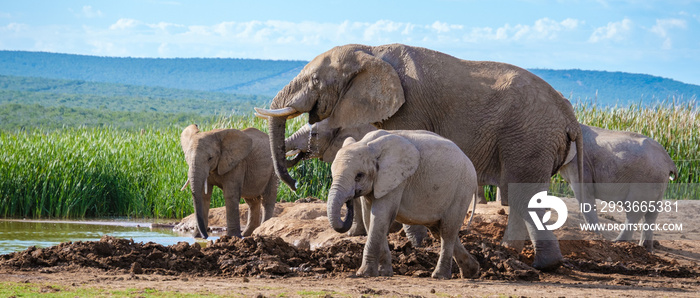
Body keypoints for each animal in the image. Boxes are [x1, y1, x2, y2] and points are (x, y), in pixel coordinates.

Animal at [330, 130, 482, 280]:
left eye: (359, 175)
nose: (349, 201)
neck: (368, 144)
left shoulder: (396, 180)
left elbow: (380, 216)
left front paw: (365, 274)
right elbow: (370, 219)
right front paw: (385, 273)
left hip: (462, 191)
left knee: (447, 231)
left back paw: (440, 276)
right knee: (439, 231)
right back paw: (471, 272)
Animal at [556, 123, 680, 251]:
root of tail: (670, 161)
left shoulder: (580, 163)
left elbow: (584, 194)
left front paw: (594, 236)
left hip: (645, 179)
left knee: (634, 211)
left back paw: (617, 243)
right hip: (658, 180)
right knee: (651, 213)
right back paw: (645, 249)